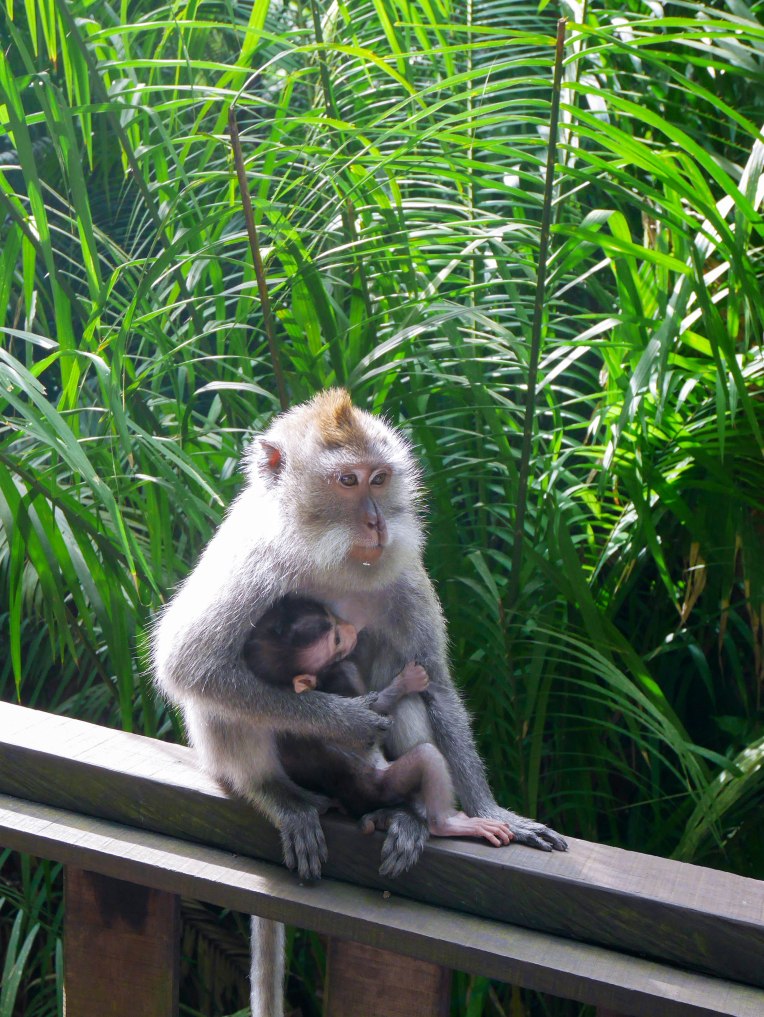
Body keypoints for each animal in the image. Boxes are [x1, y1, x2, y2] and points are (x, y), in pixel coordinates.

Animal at [242, 595, 514, 847]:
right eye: (336, 640)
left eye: (330, 616)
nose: (350, 629)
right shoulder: (340, 672)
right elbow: (372, 710)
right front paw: (408, 680)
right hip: (382, 786)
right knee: (426, 758)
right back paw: (443, 824)